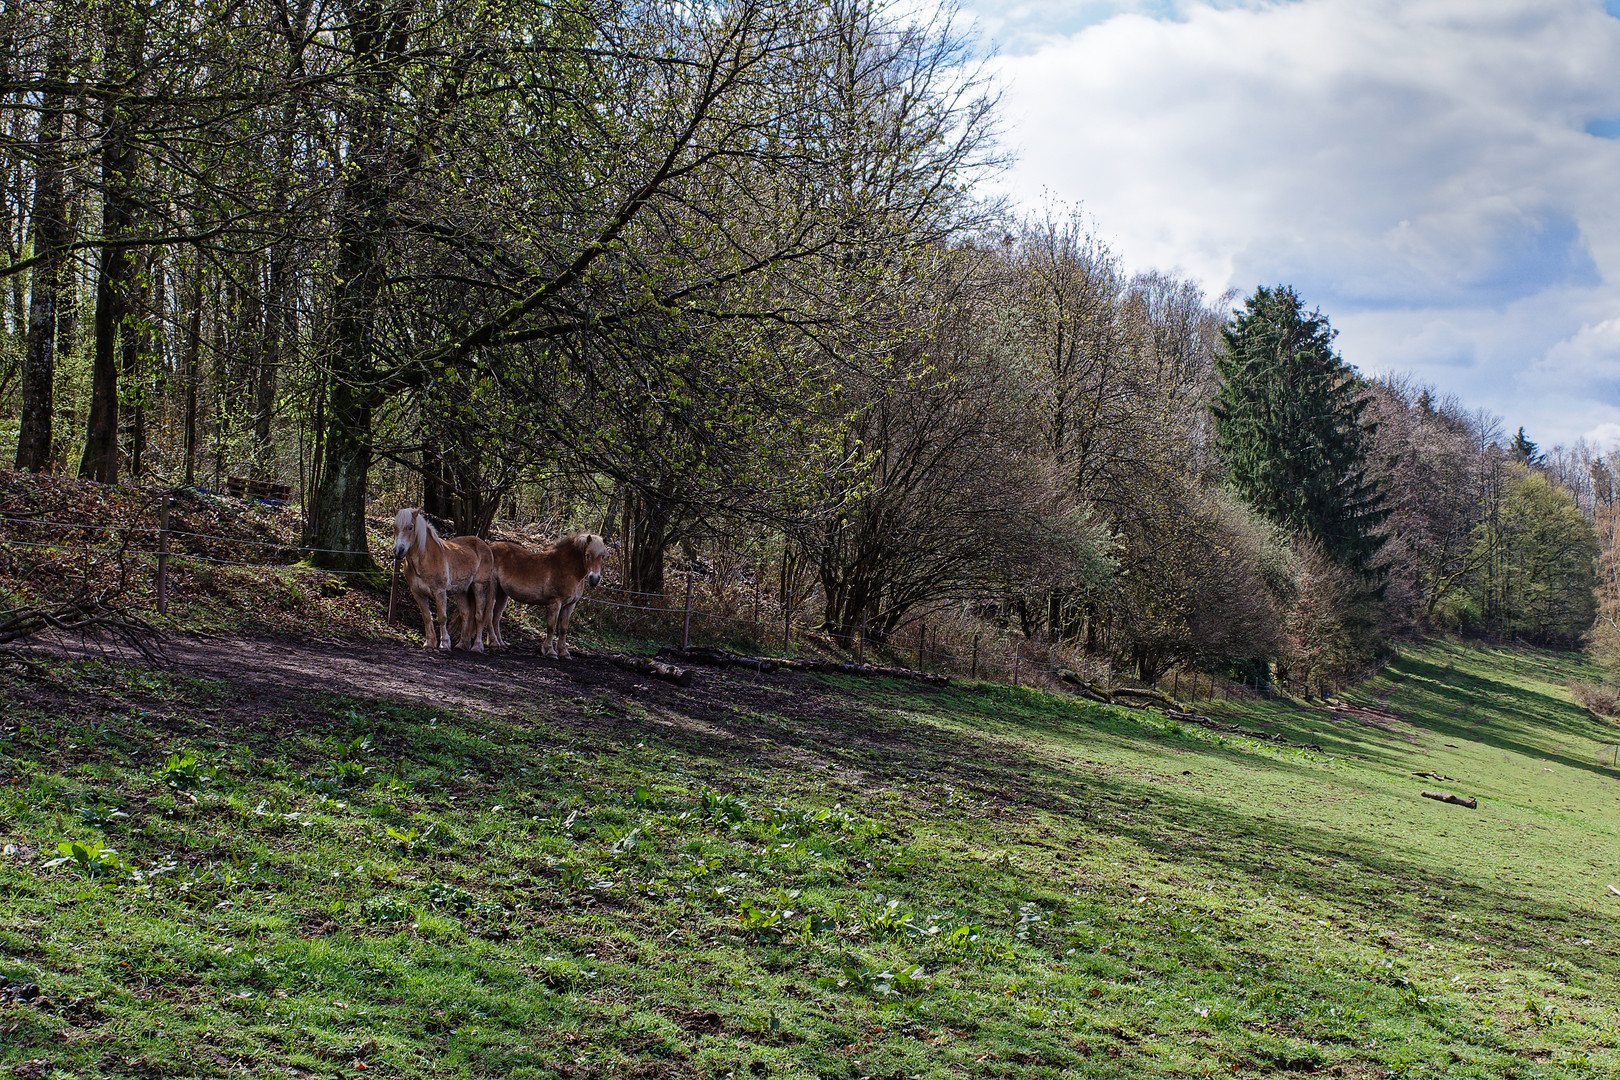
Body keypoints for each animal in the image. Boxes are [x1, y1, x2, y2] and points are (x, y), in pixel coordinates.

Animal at [392, 508, 492, 650]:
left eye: (410, 527)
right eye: (394, 527)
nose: (398, 551)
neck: (425, 558)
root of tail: (485, 546)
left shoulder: (440, 592)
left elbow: (442, 617)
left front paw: (444, 643)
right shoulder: (418, 594)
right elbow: (427, 617)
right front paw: (429, 643)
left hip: (479, 587)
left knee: (479, 616)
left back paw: (477, 646)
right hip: (461, 591)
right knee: (466, 615)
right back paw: (462, 644)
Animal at [482, 531, 609, 660]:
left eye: (603, 556)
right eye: (587, 555)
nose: (594, 579)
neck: (566, 568)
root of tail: (489, 546)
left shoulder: (569, 606)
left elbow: (563, 629)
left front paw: (564, 652)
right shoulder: (555, 603)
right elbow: (551, 627)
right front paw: (550, 651)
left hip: (502, 593)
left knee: (496, 617)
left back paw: (500, 643)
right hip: (492, 588)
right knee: (489, 613)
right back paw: (494, 643)